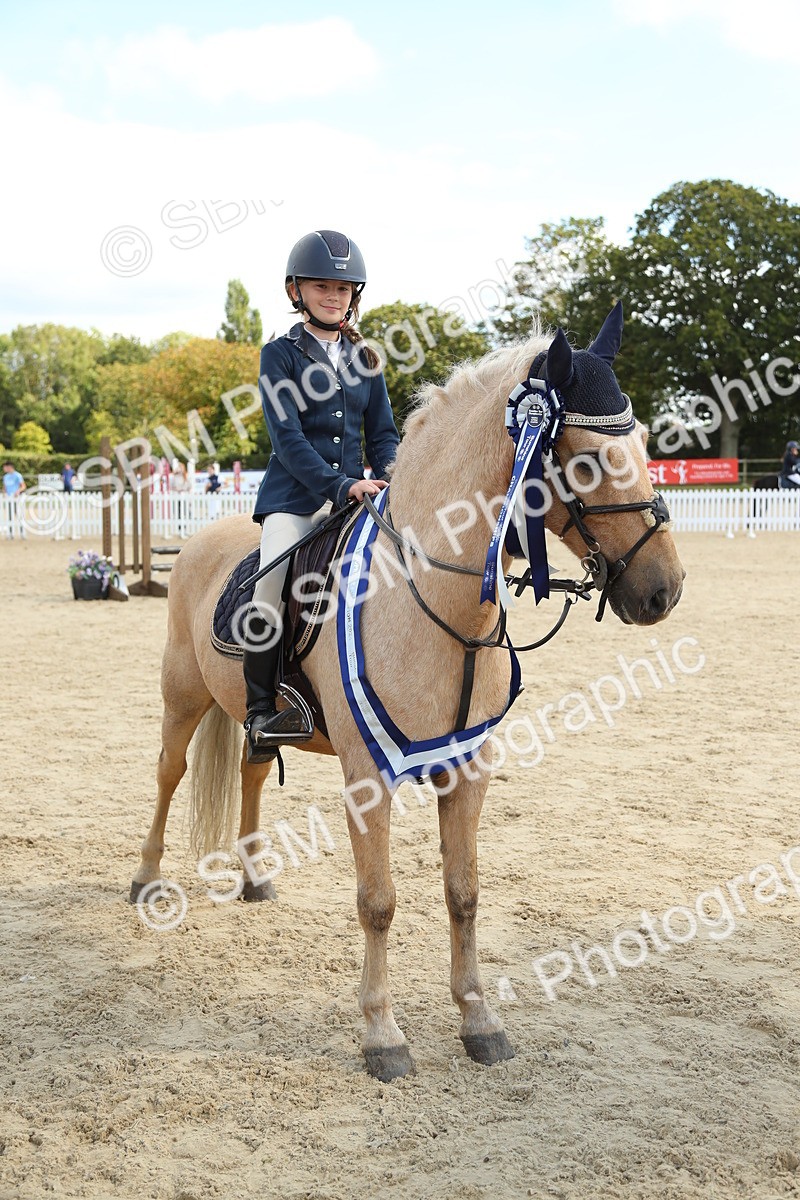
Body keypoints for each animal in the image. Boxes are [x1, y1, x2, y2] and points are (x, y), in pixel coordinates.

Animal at [130, 306, 685, 1081]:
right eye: (584, 458)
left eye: (641, 442)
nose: (665, 589)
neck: (435, 596)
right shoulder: (369, 777)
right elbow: (379, 902)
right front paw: (382, 1036)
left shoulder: (470, 770)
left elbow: (464, 893)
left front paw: (480, 1021)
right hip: (181, 694)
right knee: (168, 772)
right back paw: (146, 880)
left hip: (250, 715)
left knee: (249, 771)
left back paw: (255, 877)